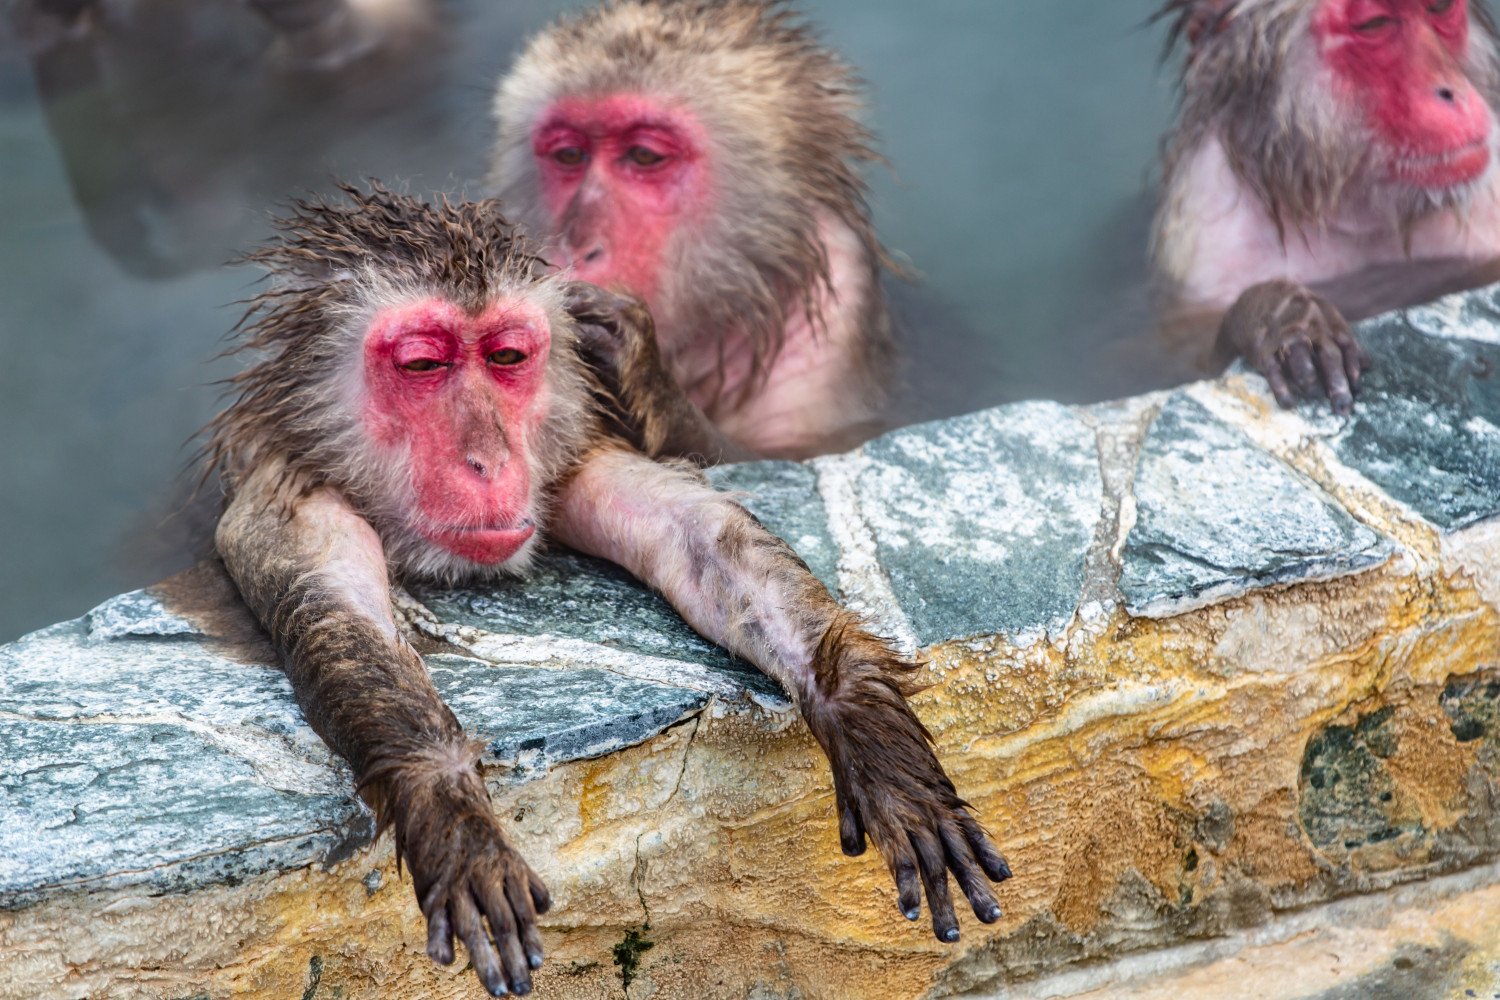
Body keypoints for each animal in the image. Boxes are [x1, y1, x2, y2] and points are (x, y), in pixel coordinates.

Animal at [208, 183, 1008, 995]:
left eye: (507, 357)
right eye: (424, 364)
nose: (489, 459)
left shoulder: (569, 447)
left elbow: (704, 544)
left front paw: (867, 727)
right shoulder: (283, 494)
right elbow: (336, 610)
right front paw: (448, 807)